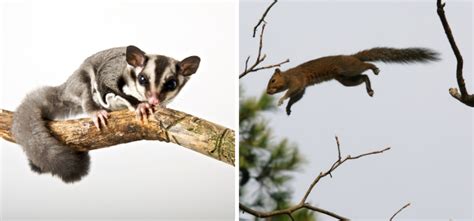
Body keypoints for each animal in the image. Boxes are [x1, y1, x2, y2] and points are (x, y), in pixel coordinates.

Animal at [10, 45, 200, 183]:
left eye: (171, 84)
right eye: (142, 79)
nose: (153, 99)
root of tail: (64, 89)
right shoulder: (113, 69)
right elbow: (107, 81)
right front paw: (140, 105)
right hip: (77, 83)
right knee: (86, 87)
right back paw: (96, 111)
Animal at [266, 47, 440, 115]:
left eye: (273, 81)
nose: (267, 92)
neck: (287, 76)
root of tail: (353, 57)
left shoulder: (297, 81)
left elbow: (290, 92)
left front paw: (281, 100)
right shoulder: (302, 87)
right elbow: (296, 98)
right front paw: (288, 107)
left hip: (348, 69)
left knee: (366, 66)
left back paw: (374, 68)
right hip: (346, 79)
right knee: (363, 77)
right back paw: (369, 89)